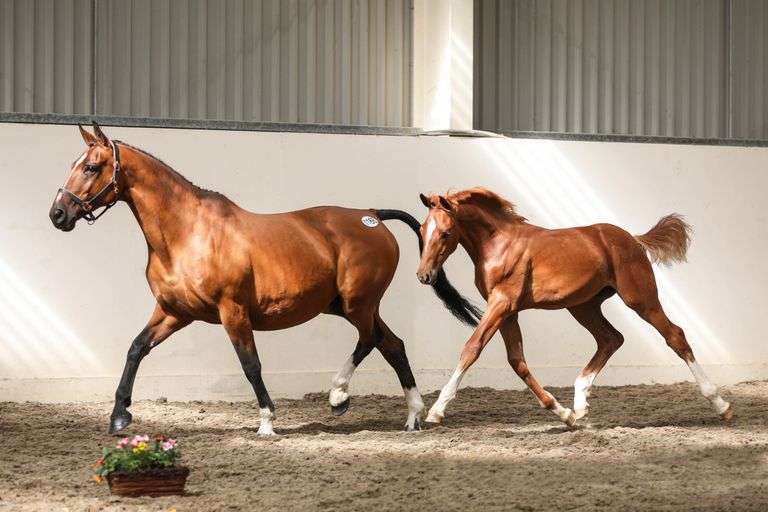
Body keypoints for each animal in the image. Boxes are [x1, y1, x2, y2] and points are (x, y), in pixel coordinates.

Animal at [48, 122, 482, 435]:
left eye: (90, 167)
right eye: (73, 164)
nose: (58, 214)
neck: (187, 233)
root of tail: (371, 214)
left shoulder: (232, 311)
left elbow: (250, 364)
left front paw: (267, 422)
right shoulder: (173, 311)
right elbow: (136, 349)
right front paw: (119, 417)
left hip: (358, 304)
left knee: (373, 339)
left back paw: (340, 396)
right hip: (346, 306)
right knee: (392, 344)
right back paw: (411, 415)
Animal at [414, 187, 732, 427]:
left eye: (445, 233)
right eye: (421, 229)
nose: (424, 276)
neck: (498, 244)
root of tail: (632, 239)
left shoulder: (502, 304)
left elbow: (472, 348)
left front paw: (436, 411)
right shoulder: (508, 311)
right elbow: (517, 361)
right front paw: (563, 413)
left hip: (640, 298)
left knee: (674, 335)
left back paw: (721, 404)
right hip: (583, 307)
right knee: (611, 338)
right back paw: (580, 405)